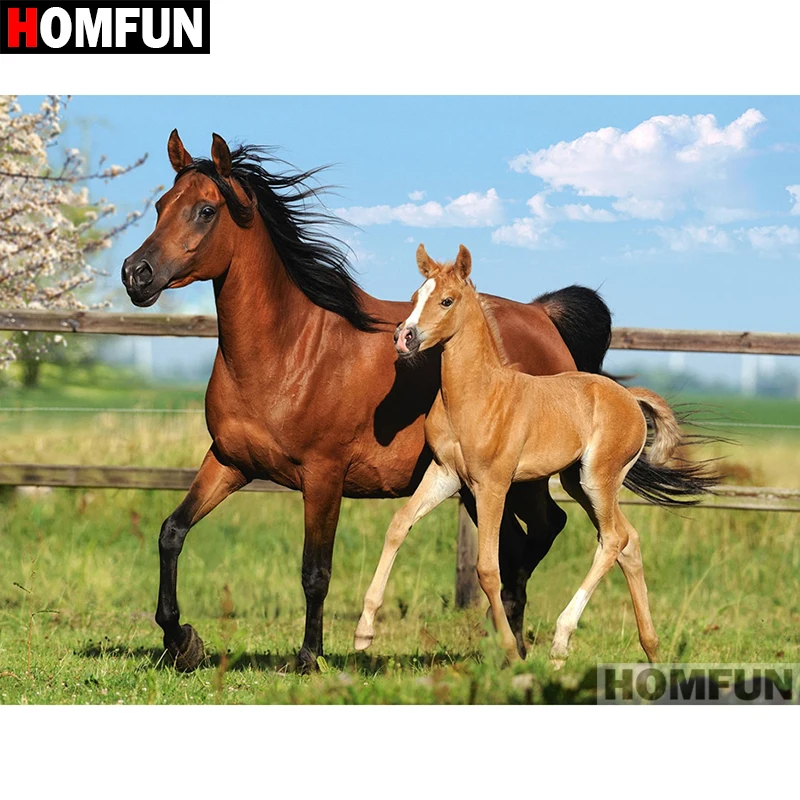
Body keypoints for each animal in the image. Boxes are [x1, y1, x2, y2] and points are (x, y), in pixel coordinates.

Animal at [121, 130, 614, 672]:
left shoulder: (323, 476)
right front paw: (181, 641)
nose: (136, 274)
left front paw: (309, 658)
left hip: (519, 478)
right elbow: (172, 531)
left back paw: (512, 641)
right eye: (160, 206)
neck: (288, 351)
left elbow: (315, 571)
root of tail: (542, 316)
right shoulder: (230, 461)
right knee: (516, 544)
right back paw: (508, 645)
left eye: (206, 210)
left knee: (543, 531)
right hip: (477, 485)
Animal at [354, 245, 716, 665]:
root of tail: (629, 397)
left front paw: (511, 651)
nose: (403, 338)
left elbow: (488, 568)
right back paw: (652, 648)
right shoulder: (445, 474)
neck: (476, 394)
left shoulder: (492, 485)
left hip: (598, 478)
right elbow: (398, 525)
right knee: (629, 541)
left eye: (446, 300)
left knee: (612, 539)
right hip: (578, 482)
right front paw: (364, 632)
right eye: (414, 298)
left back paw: (561, 643)